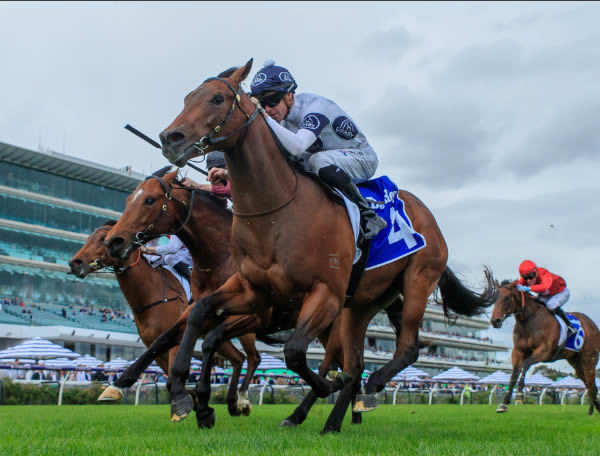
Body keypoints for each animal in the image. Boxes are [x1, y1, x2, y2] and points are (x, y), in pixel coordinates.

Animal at [156, 58, 496, 432]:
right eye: (187, 97)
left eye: (217, 98)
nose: (170, 138)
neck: (276, 213)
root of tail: (427, 215)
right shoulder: (254, 290)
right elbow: (200, 314)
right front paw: (185, 394)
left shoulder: (325, 294)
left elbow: (293, 352)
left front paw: (324, 386)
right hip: (361, 305)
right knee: (356, 363)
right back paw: (328, 420)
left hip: (417, 281)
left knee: (404, 348)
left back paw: (369, 389)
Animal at [490, 280, 596, 416]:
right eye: (494, 298)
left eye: (507, 297)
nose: (495, 321)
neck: (529, 320)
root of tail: (592, 324)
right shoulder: (518, 351)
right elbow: (514, 374)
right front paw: (504, 403)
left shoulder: (544, 351)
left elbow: (526, 364)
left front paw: (519, 395)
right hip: (576, 362)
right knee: (589, 384)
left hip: (589, 359)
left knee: (592, 384)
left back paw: (592, 411)